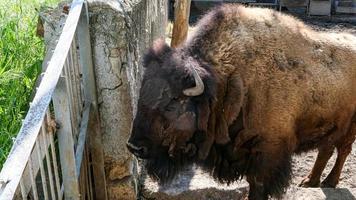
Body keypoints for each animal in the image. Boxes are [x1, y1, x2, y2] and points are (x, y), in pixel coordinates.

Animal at [126, 4, 356, 200]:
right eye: (142, 93)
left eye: (174, 100)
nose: (134, 147)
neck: (227, 81)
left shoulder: (268, 153)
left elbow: (258, 185)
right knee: (326, 150)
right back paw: (310, 181)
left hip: (349, 128)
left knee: (342, 150)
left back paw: (328, 182)